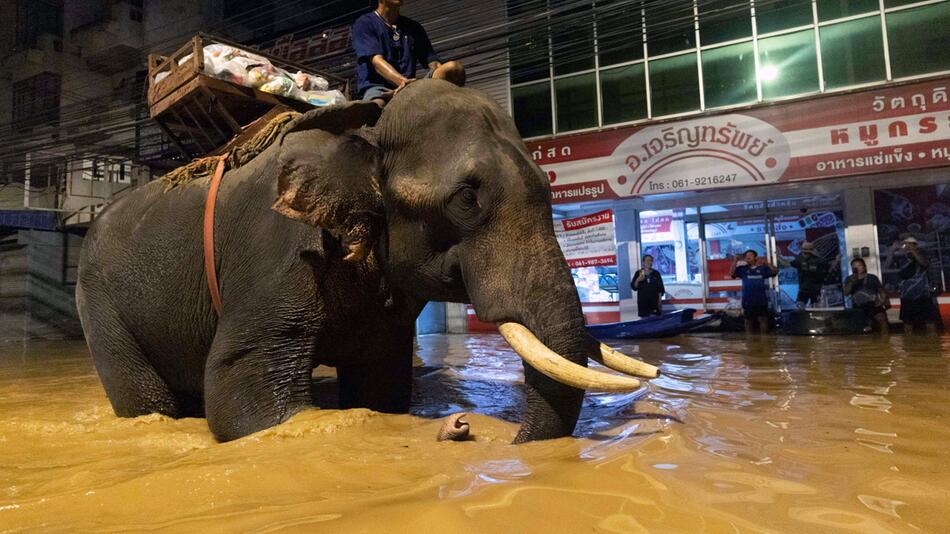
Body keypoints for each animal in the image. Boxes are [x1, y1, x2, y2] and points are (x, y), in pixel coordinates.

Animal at [74, 79, 660, 446]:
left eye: (548, 187)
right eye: (466, 198)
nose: (466, 430)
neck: (368, 122)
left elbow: (380, 384)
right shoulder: (277, 250)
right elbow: (244, 397)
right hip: (99, 304)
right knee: (147, 399)